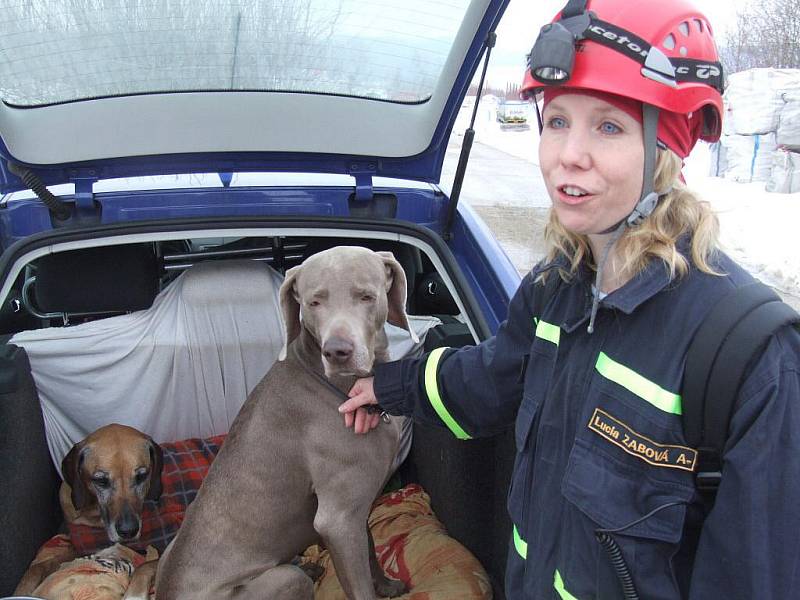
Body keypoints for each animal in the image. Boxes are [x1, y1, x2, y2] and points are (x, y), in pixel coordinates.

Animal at [16, 424, 164, 596]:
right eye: (101, 480)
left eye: (142, 476)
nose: (129, 531)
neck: (91, 513)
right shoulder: (81, 548)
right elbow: (38, 567)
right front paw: (22, 589)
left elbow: (144, 567)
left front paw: (134, 594)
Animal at [159, 247, 416, 600]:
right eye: (314, 302)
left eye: (366, 296)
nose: (337, 351)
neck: (331, 383)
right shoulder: (338, 519)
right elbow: (360, 584)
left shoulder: (353, 507)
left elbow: (368, 547)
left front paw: (387, 585)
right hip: (284, 580)